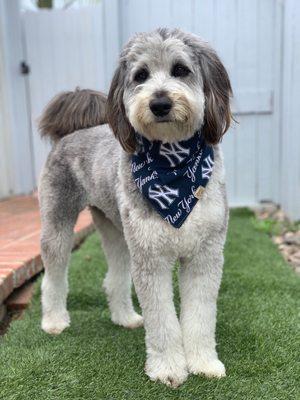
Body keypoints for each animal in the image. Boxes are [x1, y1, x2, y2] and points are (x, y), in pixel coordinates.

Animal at [38, 28, 232, 388]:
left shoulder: (205, 255)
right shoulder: (152, 258)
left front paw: (203, 363)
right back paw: (54, 321)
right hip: (57, 225)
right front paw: (169, 368)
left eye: (180, 70)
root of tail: (70, 134)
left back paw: (125, 318)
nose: (160, 103)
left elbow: (200, 316)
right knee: (53, 277)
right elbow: (162, 320)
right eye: (140, 75)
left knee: (114, 278)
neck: (173, 166)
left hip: (118, 232)